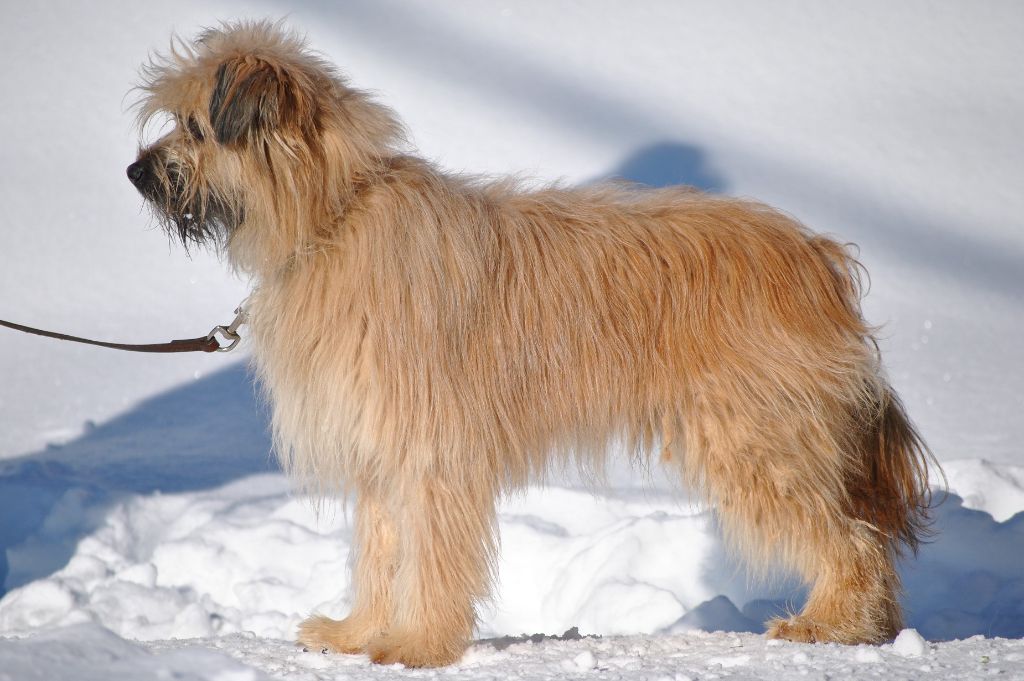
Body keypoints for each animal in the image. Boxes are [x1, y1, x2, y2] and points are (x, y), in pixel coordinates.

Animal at [128, 21, 937, 667]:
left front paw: (419, 643)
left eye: (195, 126)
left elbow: (430, 553)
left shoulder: (431, 448)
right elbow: (380, 550)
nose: (135, 172)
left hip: (757, 435)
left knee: (851, 536)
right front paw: (359, 633)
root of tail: (815, 256)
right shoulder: (381, 450)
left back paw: (833, 622)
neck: (334, 217)